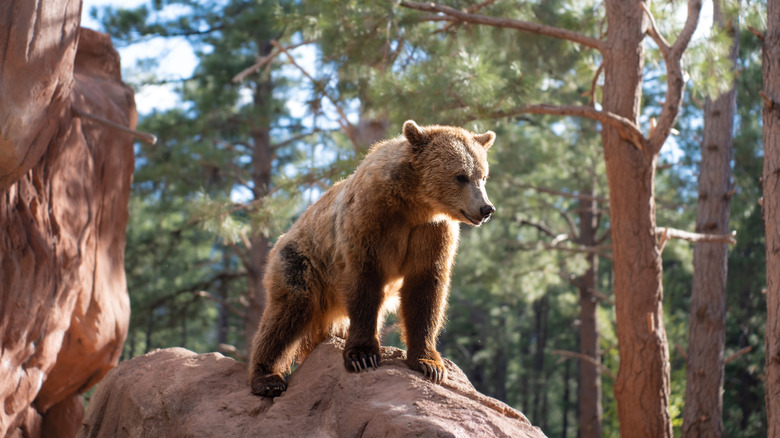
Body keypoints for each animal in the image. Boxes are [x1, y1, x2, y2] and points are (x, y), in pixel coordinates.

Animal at [247, 120, 496, 396]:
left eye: (483, 176)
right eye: (461, 176)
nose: (486, 209)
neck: (415, 204)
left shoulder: (431, 233)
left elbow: (425, 290)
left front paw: (429, 364)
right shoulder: (371, 220)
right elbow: (365, 282)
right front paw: (363, 356)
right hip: (302, 262)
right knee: (287, 312)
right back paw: (267, 378)